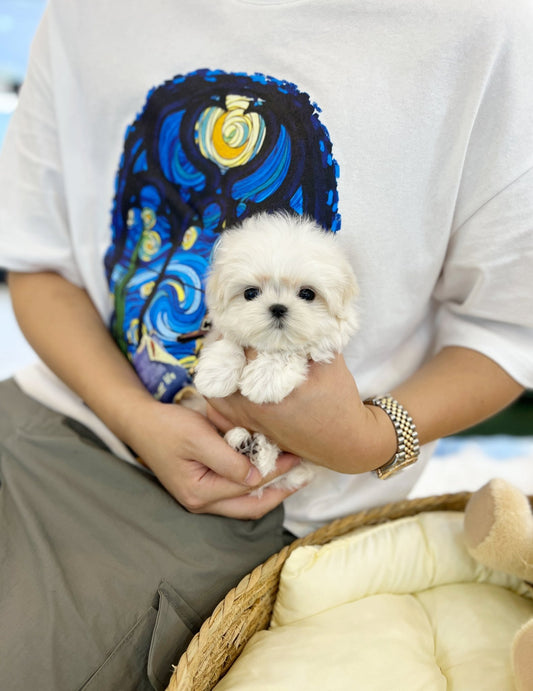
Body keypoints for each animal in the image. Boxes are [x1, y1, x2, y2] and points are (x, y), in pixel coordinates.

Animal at [193, 214, 360, 490]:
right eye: (250, 293)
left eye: (307, 293)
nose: (278, 308)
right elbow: (231, 341)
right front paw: (215, 374)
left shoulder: (324, 345)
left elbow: (293, 351)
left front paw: (266, 377)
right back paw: (244, 444)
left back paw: (257, 450)